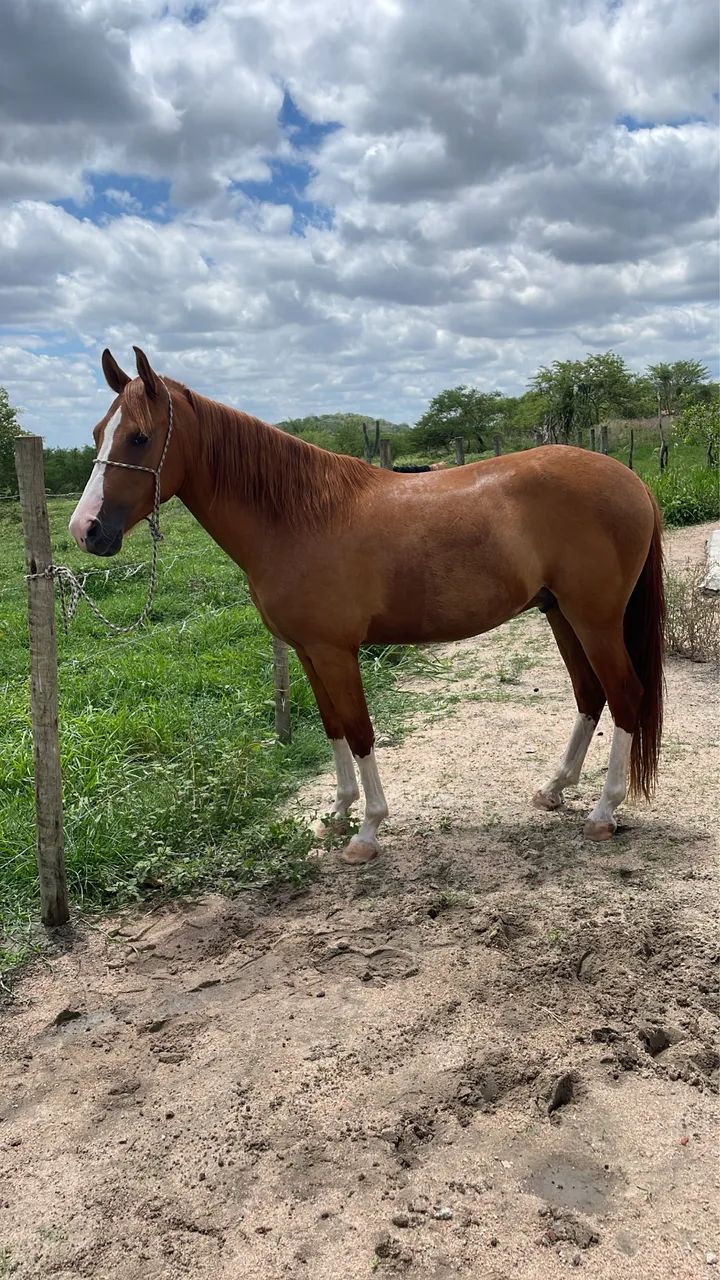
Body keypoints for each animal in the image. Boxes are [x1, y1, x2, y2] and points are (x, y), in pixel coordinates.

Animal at [69, 348, 665, 866]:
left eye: (140, 437)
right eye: (97, 433)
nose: (86, 530)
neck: (298, 517)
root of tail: (632, 480)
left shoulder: (337, 652)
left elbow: (359, 730)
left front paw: (368, 831)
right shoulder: (308, 652)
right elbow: (332, 726)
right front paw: (337, 814)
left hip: (595, 619)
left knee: (624, 695)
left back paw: (603, 812)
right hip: (559, 613)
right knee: (590, 695)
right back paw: (553, 789)